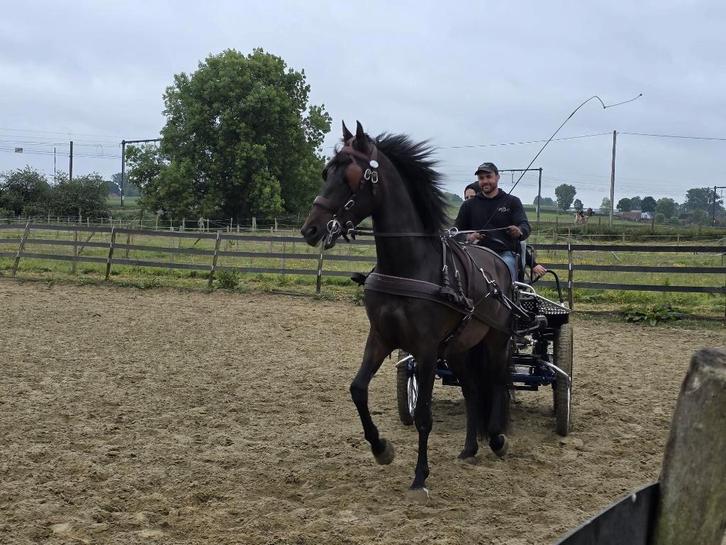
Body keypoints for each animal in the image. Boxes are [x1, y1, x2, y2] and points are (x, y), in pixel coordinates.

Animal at [301, 121, 514, 499]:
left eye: (351, 176)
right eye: (327, 172)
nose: (310, 228)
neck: (409, 266)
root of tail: (497, 262)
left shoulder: (426, 350)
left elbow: (424, 416)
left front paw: (419, 476)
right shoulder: (381, 337)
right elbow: (357, 389)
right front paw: (381, 448)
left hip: (495, 340)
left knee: (497, 381)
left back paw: (496, 439)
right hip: (459, 348)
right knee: (474, 389)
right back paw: (469, 448)